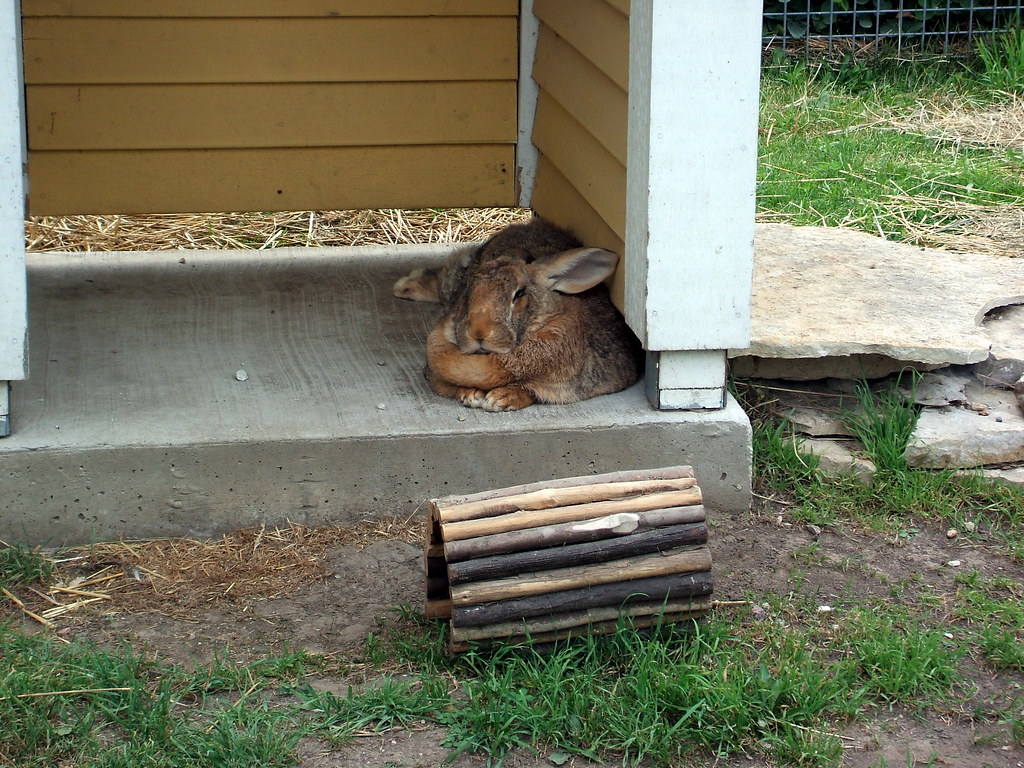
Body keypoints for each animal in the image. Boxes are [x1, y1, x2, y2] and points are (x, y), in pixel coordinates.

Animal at [394, 218, 642, 411]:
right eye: (469, 291)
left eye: (519, 294)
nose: (478, 332)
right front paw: (471, 395)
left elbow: (531, 390)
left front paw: (500, 399)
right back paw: (405, 286)